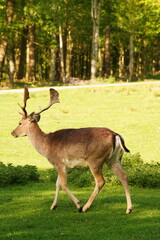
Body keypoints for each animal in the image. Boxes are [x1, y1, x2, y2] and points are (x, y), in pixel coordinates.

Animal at [11, 86, 132, 214]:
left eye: (20, 123)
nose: (12, 132)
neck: (46, 145)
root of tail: (116, 135)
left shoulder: (60, 162)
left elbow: (63, 184)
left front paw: (78, 205)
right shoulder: (61, 165)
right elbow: (57, 184)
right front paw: (53, 206)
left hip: (95, 159)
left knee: (100, 181)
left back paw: (85, 207)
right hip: (114, 159)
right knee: (124, 176)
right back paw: (129, 209)